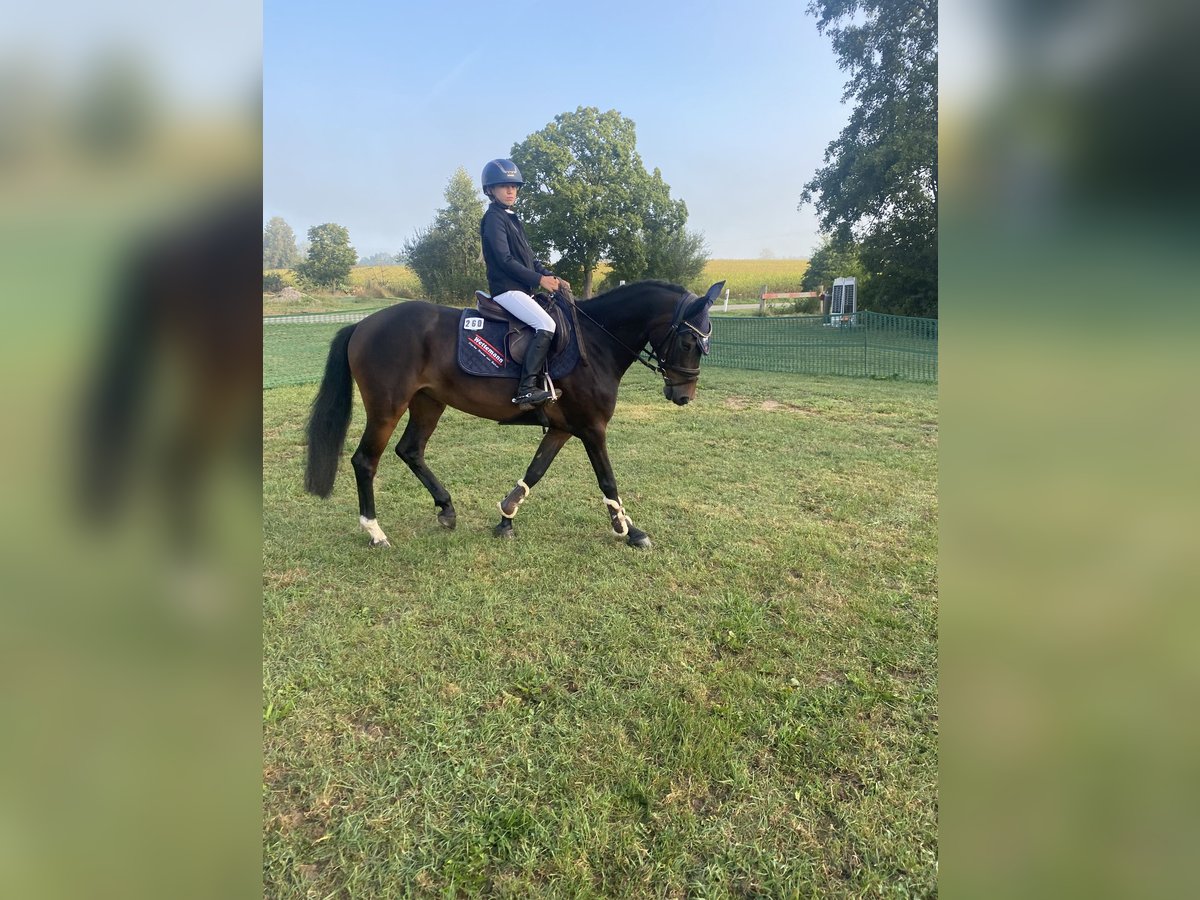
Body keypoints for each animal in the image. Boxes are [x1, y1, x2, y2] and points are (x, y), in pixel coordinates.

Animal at [304, 282, 724, 549]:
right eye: (690, 341)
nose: (683, 395)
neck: (596, 342)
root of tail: (363, 324)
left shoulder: (561, 428)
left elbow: (534, 472)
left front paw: (506, 517)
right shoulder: (592, 428)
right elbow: (607, 479)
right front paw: (629, 530)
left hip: (428, 402)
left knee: (410, 450)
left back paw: (447, 510)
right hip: (387, 407)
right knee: (365, 460)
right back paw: (375, 532)